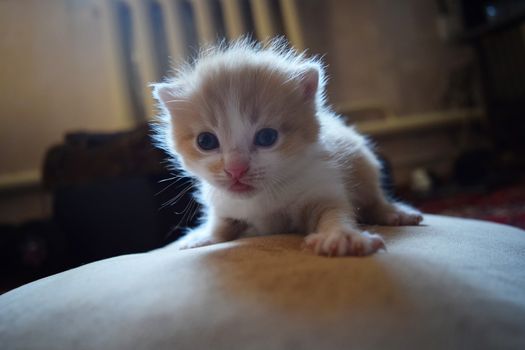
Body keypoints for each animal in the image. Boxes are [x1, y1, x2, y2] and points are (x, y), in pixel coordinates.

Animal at [151, 39, 422, 258]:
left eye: (267, 137)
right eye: (206, 142)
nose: (236, 169)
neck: (263, 200)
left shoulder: (323, 182)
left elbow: (334, 212)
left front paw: (341, 236)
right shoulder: (223, 201)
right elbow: (222, 222)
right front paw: (205, 235)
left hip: (363, 163)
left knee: (374, 198)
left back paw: (395, 213)